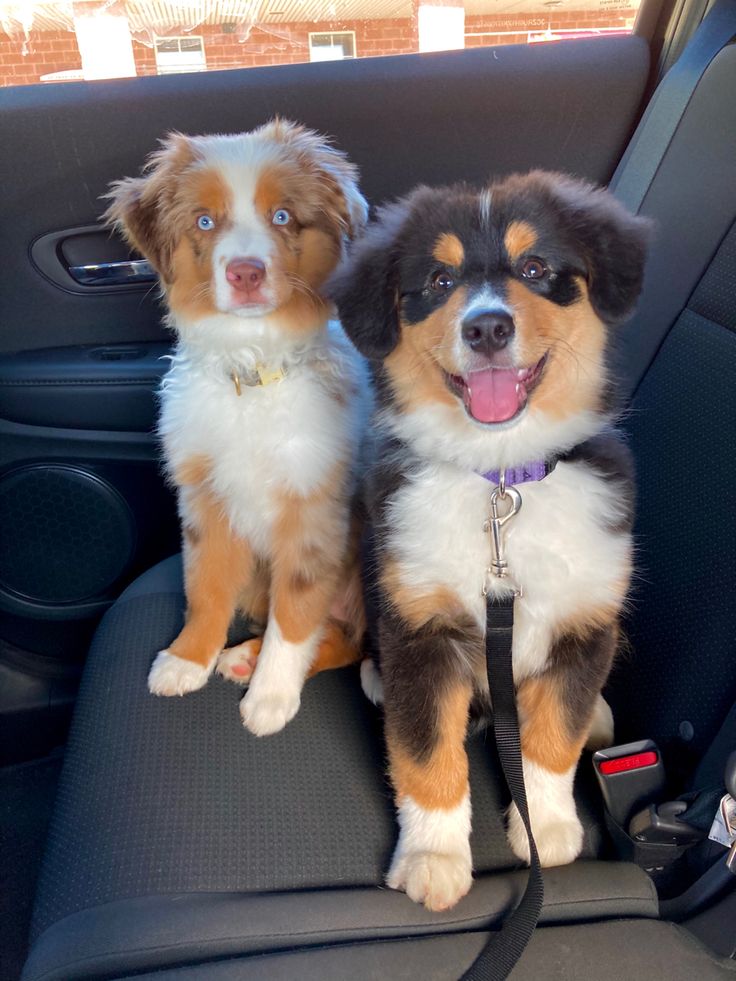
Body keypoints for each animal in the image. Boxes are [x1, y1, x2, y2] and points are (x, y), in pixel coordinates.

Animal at [334, 172, 648, 916]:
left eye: (534, 268)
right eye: (440, 279)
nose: (485, 327)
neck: (502, 474)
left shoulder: (584, 620)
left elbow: (554, 736)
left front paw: (550, 826)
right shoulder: (422, 627)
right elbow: (425, 754)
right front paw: (433, 856)